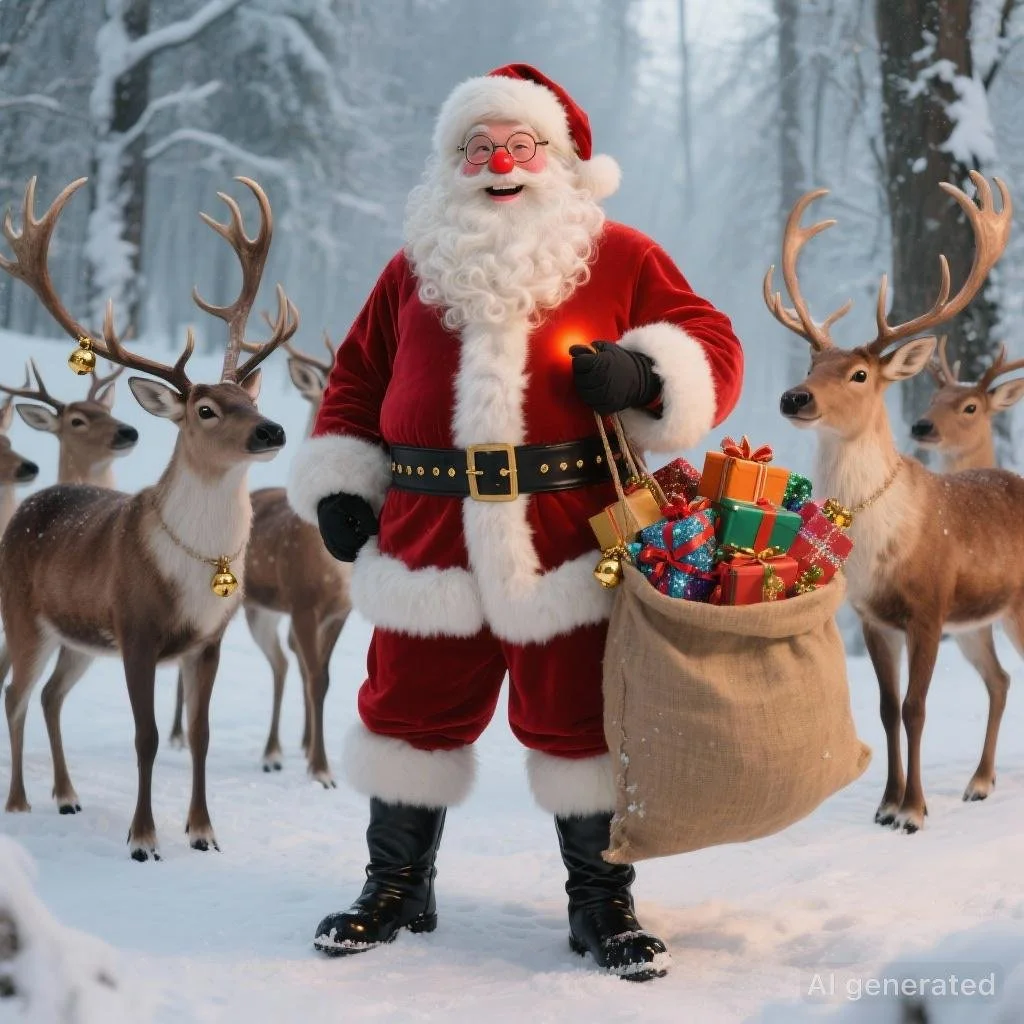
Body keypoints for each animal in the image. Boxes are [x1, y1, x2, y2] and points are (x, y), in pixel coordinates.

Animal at [0, 174, 297, 860]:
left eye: (248, 399)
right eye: (206, 410)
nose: (272, 429)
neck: (194, 575)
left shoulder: (208, 641)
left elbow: (201, 735)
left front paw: (203, 831)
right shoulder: (135, 630)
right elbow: (148, 737)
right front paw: (142, 838)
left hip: (78, 638)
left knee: (50, 695)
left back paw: (67, 795)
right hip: (24, 616)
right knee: (16, 696)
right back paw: (20, 800)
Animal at [167, 333, 352, 786]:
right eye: (324, 389)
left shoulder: (340, 610)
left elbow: (320, 676)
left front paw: (310, 754)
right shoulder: (303, 600)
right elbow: (316, 678)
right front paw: (321, 770)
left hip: (262, 610)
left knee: (284, 663)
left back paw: (278, 750)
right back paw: (179, 736)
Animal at [763, 170, 1024, 833]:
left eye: (859, 374)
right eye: (813, 361)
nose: (794, 397)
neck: (879, 548)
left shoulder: (929, 606)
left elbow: (915, 706)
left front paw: (914, 811)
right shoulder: (871, 615)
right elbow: (884, 707)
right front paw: (885, 804)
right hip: (978, 622)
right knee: (1001, 679)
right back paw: (980, 782)